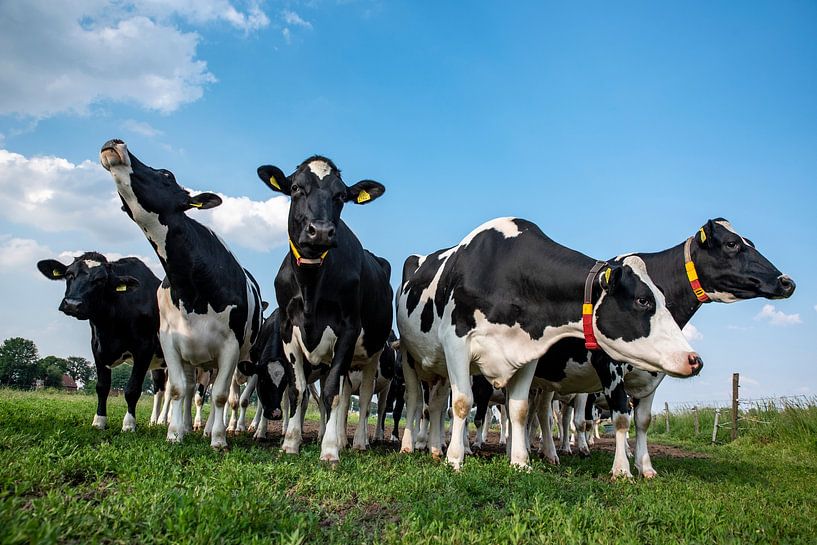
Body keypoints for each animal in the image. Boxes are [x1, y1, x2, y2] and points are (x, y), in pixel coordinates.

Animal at [37, 252, 164, 431]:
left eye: (100, 280)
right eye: (69, 274)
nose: (72, 304)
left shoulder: (144, 348)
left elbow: (132, 389)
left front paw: (129, 424)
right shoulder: (97, 348)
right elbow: (102, 387)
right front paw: (99, 421)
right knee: (162, 389)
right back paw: (156, 421)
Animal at [100, 139, 264, 449]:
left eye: (166, 175)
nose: (114, 142)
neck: (192, 287)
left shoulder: (231, 347)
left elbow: (220, 395)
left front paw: (219, 439)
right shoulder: (170, 341)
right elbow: (177, 390)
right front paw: (175, 433)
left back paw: (211, 428)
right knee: (189, 391)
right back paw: (187, 426)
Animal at [256, 155, 393, 464]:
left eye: (340, 195)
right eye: (296, 187)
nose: (320, 231)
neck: (310, 285)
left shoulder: (348, 331)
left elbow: (332, 392)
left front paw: (329, 449)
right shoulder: (288, 331)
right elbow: (298, 391)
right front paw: (291, 442)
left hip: (373, 353)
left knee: (364, 397)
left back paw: (358, 442)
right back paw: (341, 438)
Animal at [396, 217, 702, 470]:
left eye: (663, 300)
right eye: (643, 300)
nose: (694, 360)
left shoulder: (527, 352)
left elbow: (519, 410)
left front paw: (520, 461)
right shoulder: (457, 343)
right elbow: (462, 403)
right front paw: (456, 459)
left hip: (439, 368)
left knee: (436, 405)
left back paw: (435, 448)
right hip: (412, 359)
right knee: (417, 403)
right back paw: (411, 445)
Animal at [527, 218, 795, 477]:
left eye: (750, 242)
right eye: (731, 243)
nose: (787, 282)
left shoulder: (652, 374)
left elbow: (643, 420)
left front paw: (645, 467)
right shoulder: (609, 367)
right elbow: (620, 419)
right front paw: (621, 470)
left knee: (541, 413)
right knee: (545, 415)